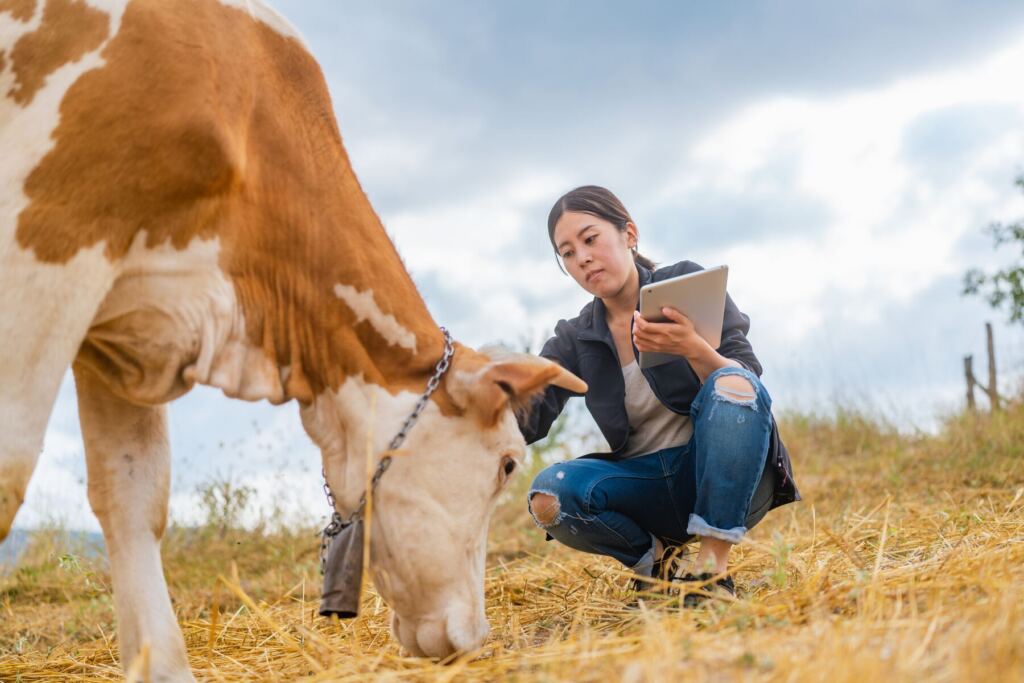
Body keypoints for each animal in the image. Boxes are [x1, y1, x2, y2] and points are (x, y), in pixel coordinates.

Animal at [0, 0, 586, 679]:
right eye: (508, 462)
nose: (474, 635)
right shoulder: (58, 231)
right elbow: (10, 470)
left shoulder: (124, 326)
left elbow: (134, 496)